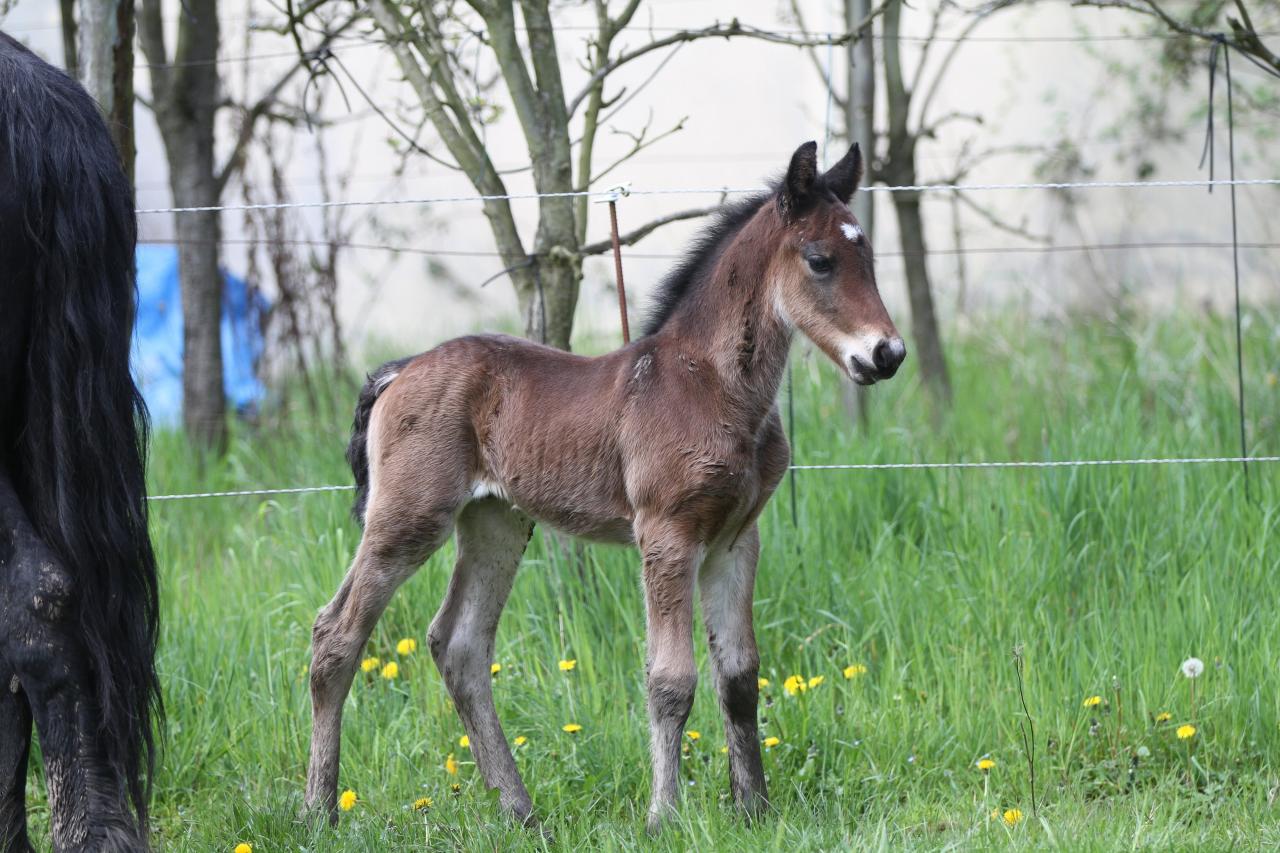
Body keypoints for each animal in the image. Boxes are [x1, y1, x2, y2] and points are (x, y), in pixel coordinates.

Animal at [303, 140, 906, 829]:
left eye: (870, 258)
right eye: (820, 260)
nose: (887, 354)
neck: (710, 385)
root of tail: (400, 370)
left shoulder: (735, 539)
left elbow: (739, 675)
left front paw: (754, 809)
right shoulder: (667, 535)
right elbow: (671, 679)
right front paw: (665, 816)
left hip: (496, 522)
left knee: (459, 645)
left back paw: (520, 810)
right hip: (408, 516)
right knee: (337, 634)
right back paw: (319, 809)